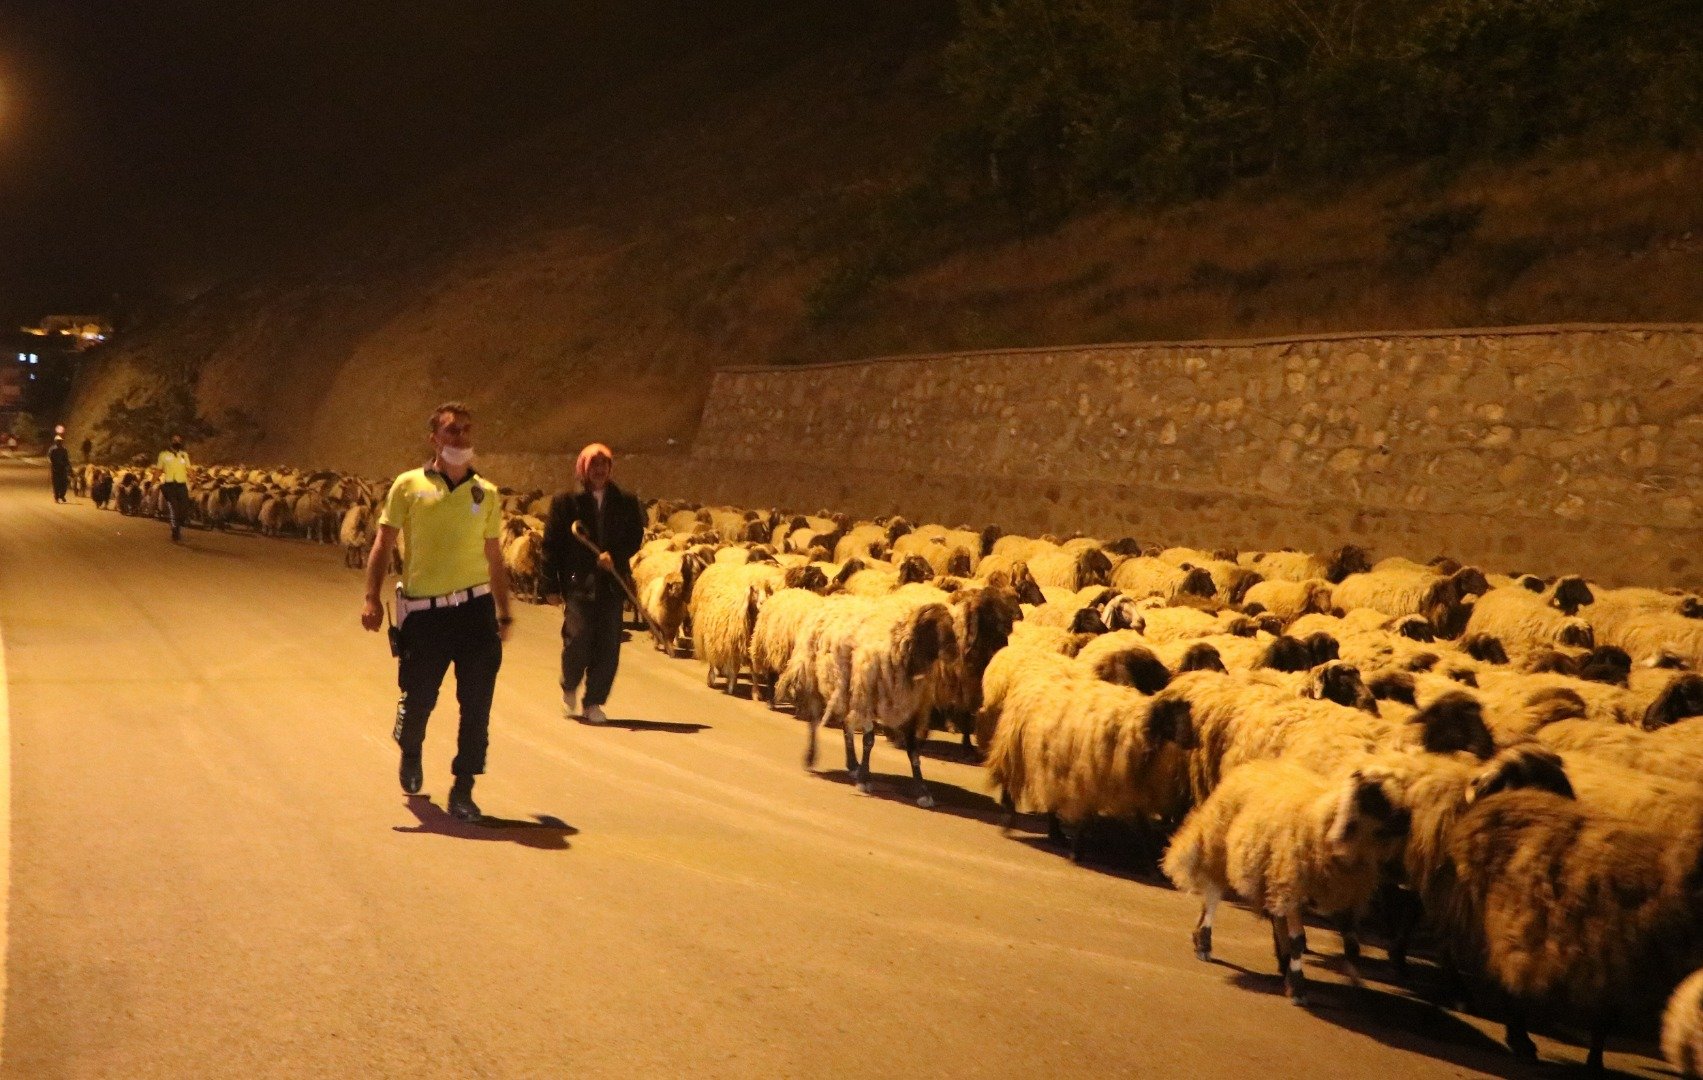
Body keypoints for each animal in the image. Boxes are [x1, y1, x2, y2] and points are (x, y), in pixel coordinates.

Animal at [1158, 756, 1410, 1001]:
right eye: (1374, 795)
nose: (1407, 822)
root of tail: (1253, 765)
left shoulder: (1345, 895)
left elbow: (1352, 946)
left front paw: (1354, 981)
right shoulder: (1295, 887)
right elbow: (1299, 940)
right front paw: (1297, 986)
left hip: (1271, 873)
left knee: (1271, 913)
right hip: (1220, 847)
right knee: (1213, 896)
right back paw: (1204, 943)